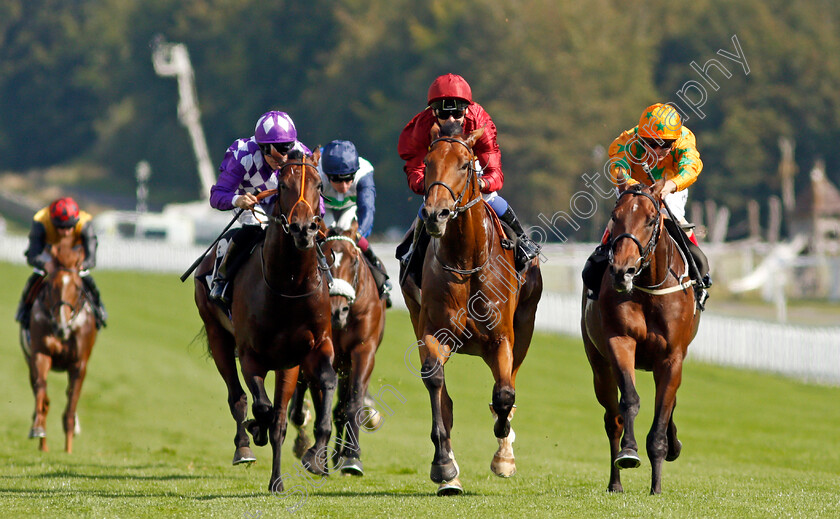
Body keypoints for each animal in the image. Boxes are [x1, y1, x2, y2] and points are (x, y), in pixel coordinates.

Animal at [23, 234, 98, 452]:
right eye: (51, 285)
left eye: (77, 287)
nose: (61, 327)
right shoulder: (40, 354)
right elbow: (42, 395)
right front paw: (38, 429)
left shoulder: (79, 364)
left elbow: (71, 406)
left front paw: (69, 450)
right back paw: (43, 444)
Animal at [196, 149, 338, 492]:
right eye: (283, 185)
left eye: (319, 185)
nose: (304, 229)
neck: (289, 285)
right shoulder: (251, 354)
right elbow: (261, 407)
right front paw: (256, 429)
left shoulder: (309, 350)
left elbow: (323, 386)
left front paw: (312, 457)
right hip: (218, 336)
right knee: (237, 396)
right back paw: (244, 446)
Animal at [286, 219, 384, 476]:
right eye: (324, 261)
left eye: (354, 260)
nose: (337, 311)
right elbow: (319, 399)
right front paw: (317, 454)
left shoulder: (363, 351)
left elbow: (353, 402)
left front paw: (352, 457)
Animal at [400, 122, 544, 496]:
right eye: (427, 162)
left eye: (466, 164)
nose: (435, 214)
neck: (466, 260)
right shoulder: (433, 332)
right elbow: (436, 385)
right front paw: (443, 466)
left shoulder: (502, 338)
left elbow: (505, 393)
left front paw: (503, 454)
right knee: (445, 399)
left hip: (525, 327)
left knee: (508, 385)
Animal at [580, 183, 700, 496]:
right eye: (615, 216)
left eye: (650, 219)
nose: (622, 271)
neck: (648, 287)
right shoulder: (620, 341)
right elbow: (630, 401)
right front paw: (629, 452)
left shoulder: (672, 358)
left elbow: (662, 415)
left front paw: (656, 486)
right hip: (598, 365)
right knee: (613, 419)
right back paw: (615, 483)